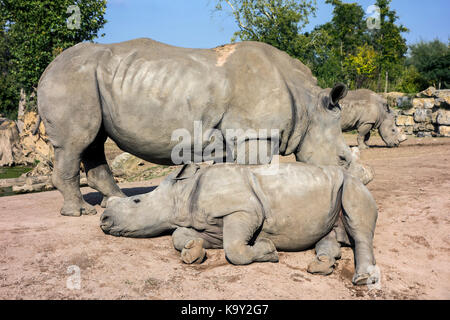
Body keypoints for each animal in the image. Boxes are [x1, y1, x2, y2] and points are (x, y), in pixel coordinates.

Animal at [37, 38, 370, 218]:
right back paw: (81, 212)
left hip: (88, 82)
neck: (308, 105)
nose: (365, 183)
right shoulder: (254, 133)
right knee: (76, 143)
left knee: (93, 142)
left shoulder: (237, 135)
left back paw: (117, 201)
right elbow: (259, 173)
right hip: (71, 79)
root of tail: (47, 68)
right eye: (342, 159)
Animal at [100, 164, 378, 286]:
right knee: (328, 232)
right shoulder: (211, 225)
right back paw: (322, 266)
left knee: (359, 225)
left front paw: (267, 249)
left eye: (135, 201)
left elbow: (234, 249)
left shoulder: (244, 210)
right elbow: (180, 235)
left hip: (352, 183)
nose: (103, 220)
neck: (182, 193)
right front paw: (193, 252)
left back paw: (363, 279)